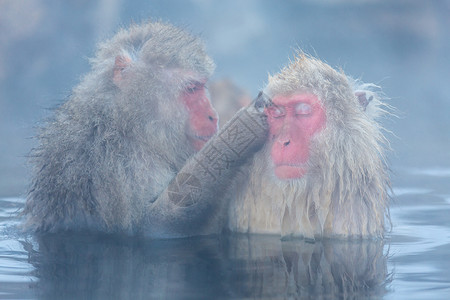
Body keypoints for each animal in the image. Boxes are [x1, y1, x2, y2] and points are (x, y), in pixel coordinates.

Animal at [23, 21, 268, 238]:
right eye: (191, 89)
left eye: (201, 87)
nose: (213, 115)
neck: (126, 123)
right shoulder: (118, 163)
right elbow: (153, 227)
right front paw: (243, 130)